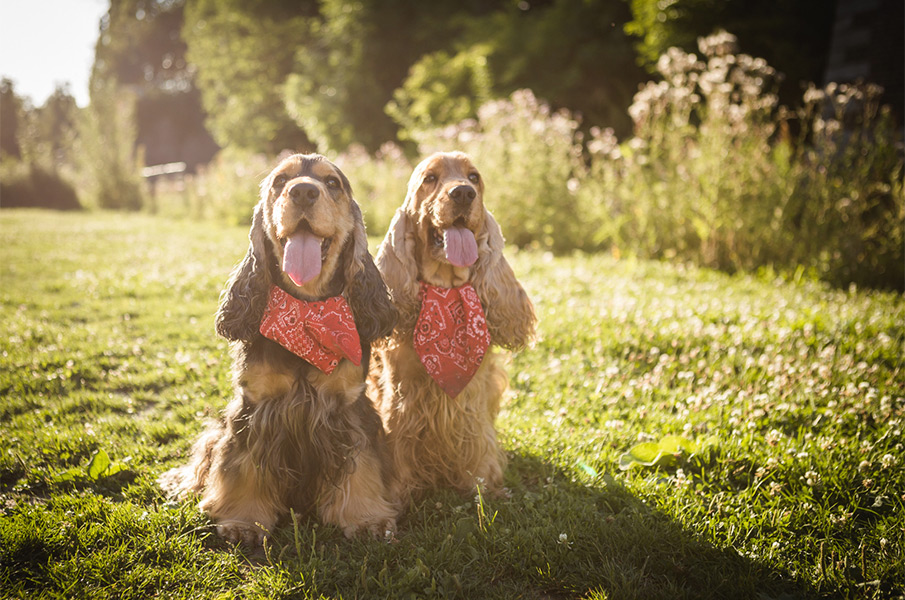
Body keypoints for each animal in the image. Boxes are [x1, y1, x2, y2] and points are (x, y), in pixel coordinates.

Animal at [160, 152, 400, 548]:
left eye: (332, 182)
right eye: (280, 181)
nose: (303, 191)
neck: (304, 311)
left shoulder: (350, 408)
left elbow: (362, 466)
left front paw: (366, 519)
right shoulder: (254, 409)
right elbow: (241, 467)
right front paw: (242, 521)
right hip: (214, 432)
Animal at [370, 149, 536, 502]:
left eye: (474, 177)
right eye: (430, 178)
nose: (462, 193)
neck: (446, 290)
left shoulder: (474, 399)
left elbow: (478, 441)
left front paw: (482, 487)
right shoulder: (401, 395)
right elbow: (397, 440)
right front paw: (398, 493)